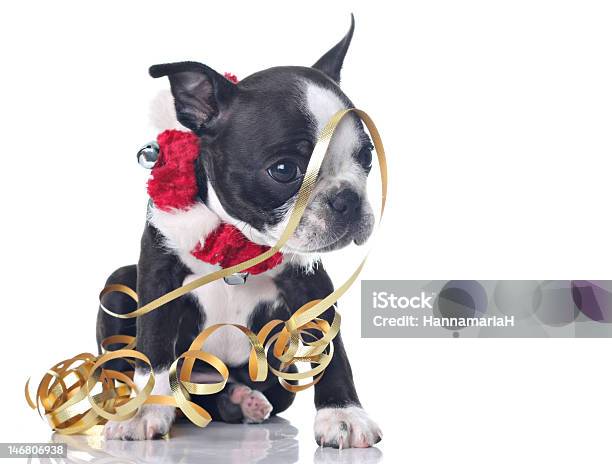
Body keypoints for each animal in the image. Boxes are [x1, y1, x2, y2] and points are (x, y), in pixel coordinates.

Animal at [97, 16, 382, 448]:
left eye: (365, 156)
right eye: (284, 170)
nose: (346, 199)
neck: (242, 243)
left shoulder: (309, 281)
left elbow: (333, 351)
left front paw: (343, 414)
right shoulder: (158, 271)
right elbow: (154, 341)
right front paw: (146, 411)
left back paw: (243, 401)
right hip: (119, 286)